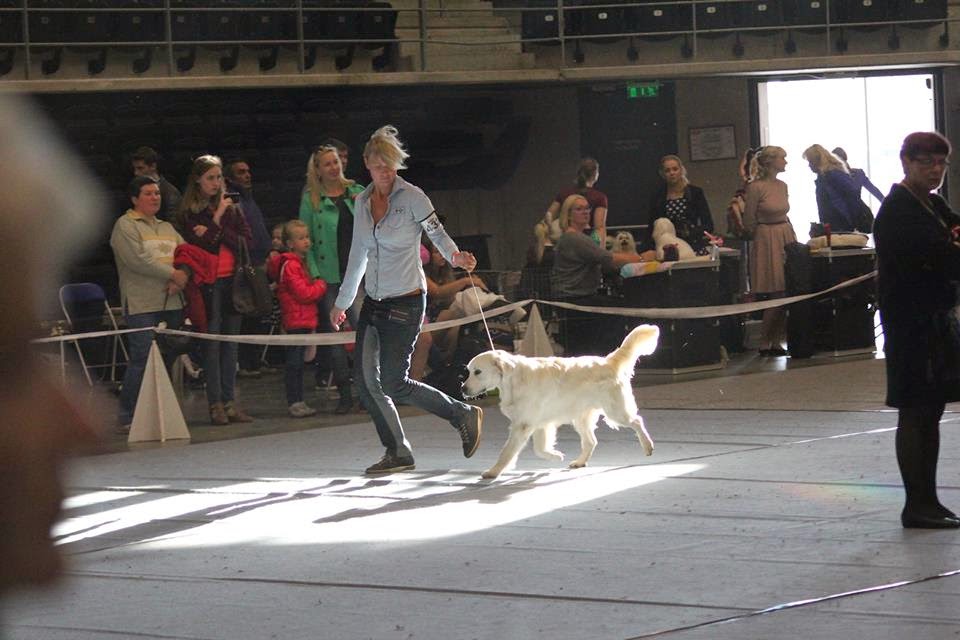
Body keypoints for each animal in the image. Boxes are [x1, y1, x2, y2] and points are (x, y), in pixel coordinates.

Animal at [462, 325, 660, 479]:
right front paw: (555, 456)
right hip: (581, 418)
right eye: (469, 371)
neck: (513, 380)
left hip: (615, 412)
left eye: (477, 372)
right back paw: (579, 462)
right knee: (591, 441)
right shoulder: (539, 423)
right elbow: (539, 448)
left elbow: (507, 452)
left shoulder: (523, 424)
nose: (463, 389)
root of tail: (608, 361)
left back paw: (648, 446)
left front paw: (493, 472)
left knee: (636, 421)